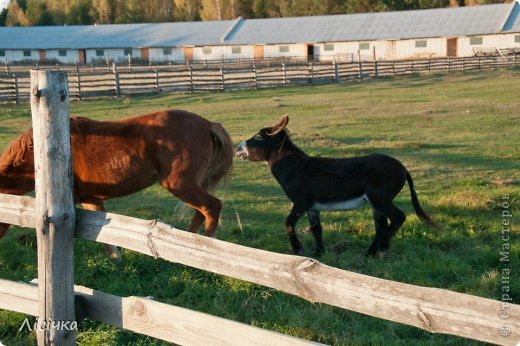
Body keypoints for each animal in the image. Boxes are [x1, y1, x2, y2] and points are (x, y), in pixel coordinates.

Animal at [0, 109, 233, 258]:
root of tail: (207, 124)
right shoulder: (91, 199)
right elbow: (104, 236)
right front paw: (116, 260)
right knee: (201, 211)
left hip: (180, 184)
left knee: (212, 207)